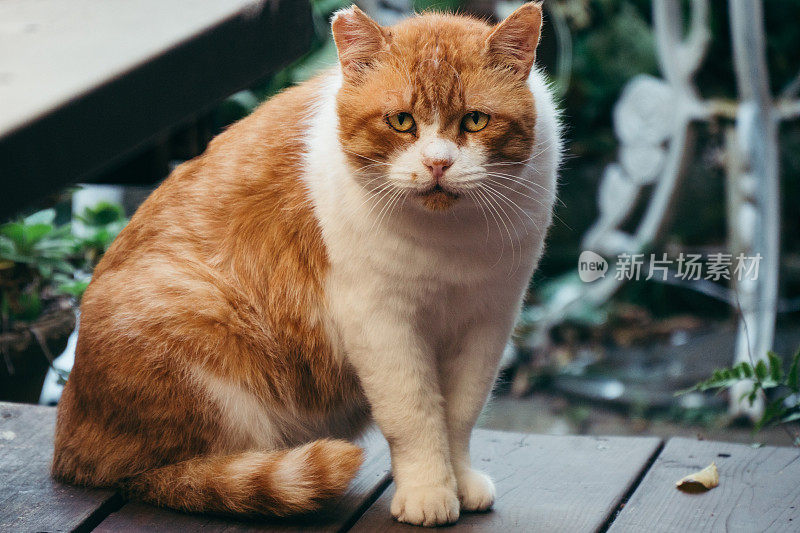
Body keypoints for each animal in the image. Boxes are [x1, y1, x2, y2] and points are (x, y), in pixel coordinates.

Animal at [53, 3, 560, 528]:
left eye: (475, 120)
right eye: (401, 121)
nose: (438, 164)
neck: (449, 242)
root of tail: (67, 442)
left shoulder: (488, 319)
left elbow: (460, 415)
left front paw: (458, 481)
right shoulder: (381, 323)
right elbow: (415, 415)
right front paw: (428, 491)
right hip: (196, 310)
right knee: (171, 471)